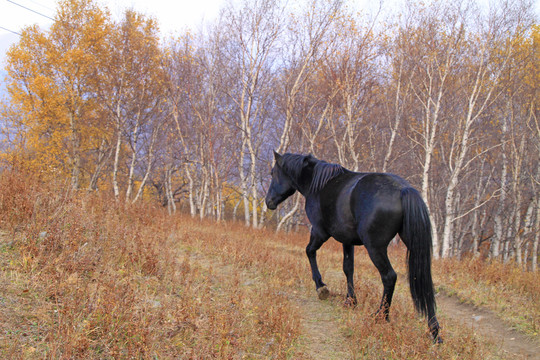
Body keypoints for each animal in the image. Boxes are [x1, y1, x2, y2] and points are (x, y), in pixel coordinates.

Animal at [266, 152, 442, 344]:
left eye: (273, 173)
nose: (268, 202)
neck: (318, 184)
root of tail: (403, 189)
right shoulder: (347, 241)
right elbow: (348, 268)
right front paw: (350, 300)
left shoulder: (319, 232)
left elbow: (309, 251)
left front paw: (321, 287)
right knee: (424, 281)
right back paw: (434, 331)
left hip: (375, 248)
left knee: (389, 277)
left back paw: (381, 316)